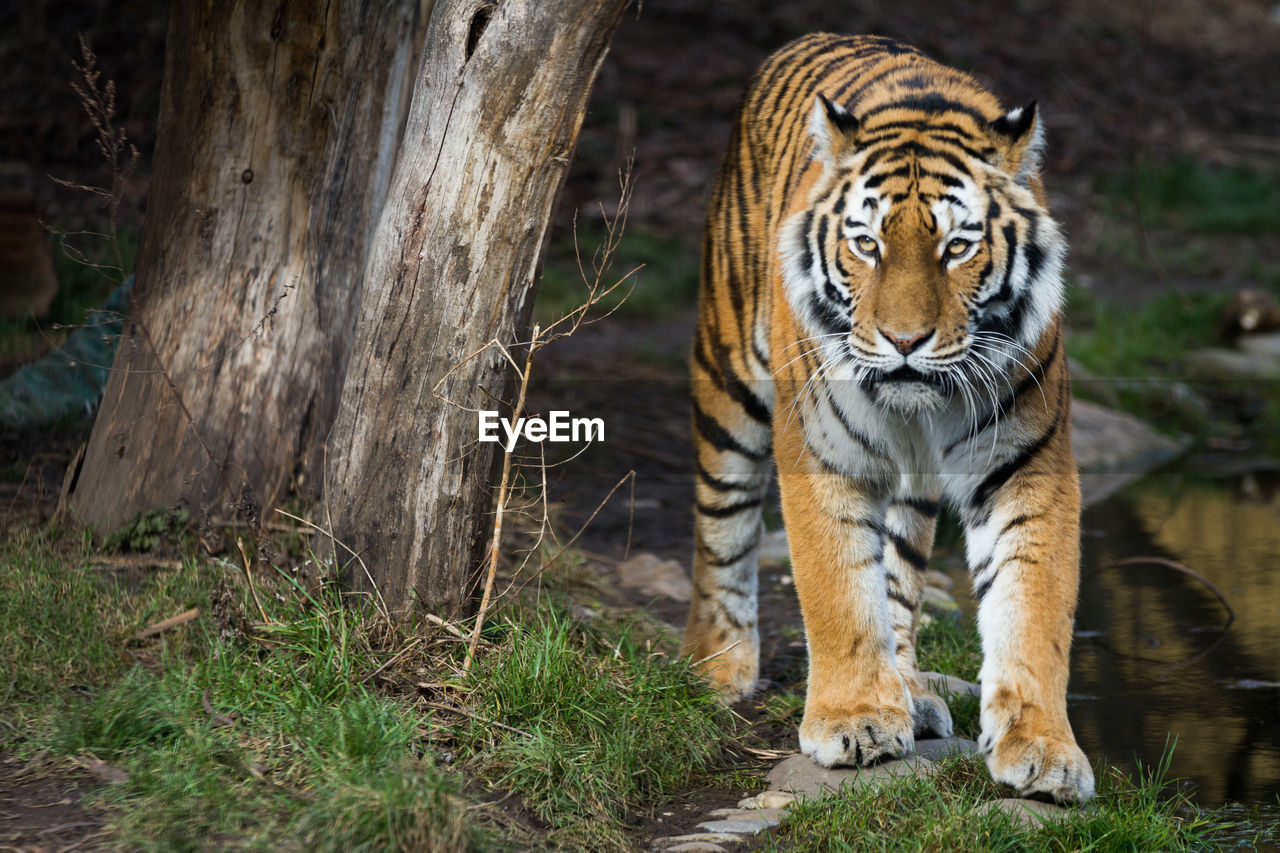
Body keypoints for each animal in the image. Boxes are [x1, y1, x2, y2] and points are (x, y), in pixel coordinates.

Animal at [686, 34, 1095, 804]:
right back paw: (717, 666)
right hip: (728, 375)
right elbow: (838, 591)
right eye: (867, 244)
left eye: (958, 247)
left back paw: (908, 686)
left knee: (900, 578)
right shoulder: (822, 454)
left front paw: (1045, 750)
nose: (905, 340)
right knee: (721, 523)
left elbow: (1033, 609)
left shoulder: (1028, 465)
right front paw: (854, 723)